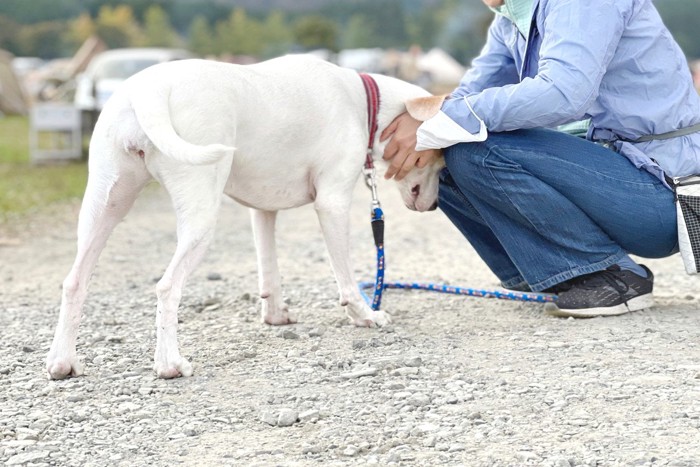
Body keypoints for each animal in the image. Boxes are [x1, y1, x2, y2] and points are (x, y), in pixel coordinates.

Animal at [46, 54, 446, 380]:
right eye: (438, 159)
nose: (432, 207)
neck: (363, 102)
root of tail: (148, 90)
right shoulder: (332, 205)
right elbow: (346, 279)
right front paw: (366, 316)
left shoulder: (263, 211)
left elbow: (269, 270)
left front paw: (275, 315)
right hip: (200, 216)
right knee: (167, 287)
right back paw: (169, 365)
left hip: (104, 207)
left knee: (74, 281)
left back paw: (63, 363)